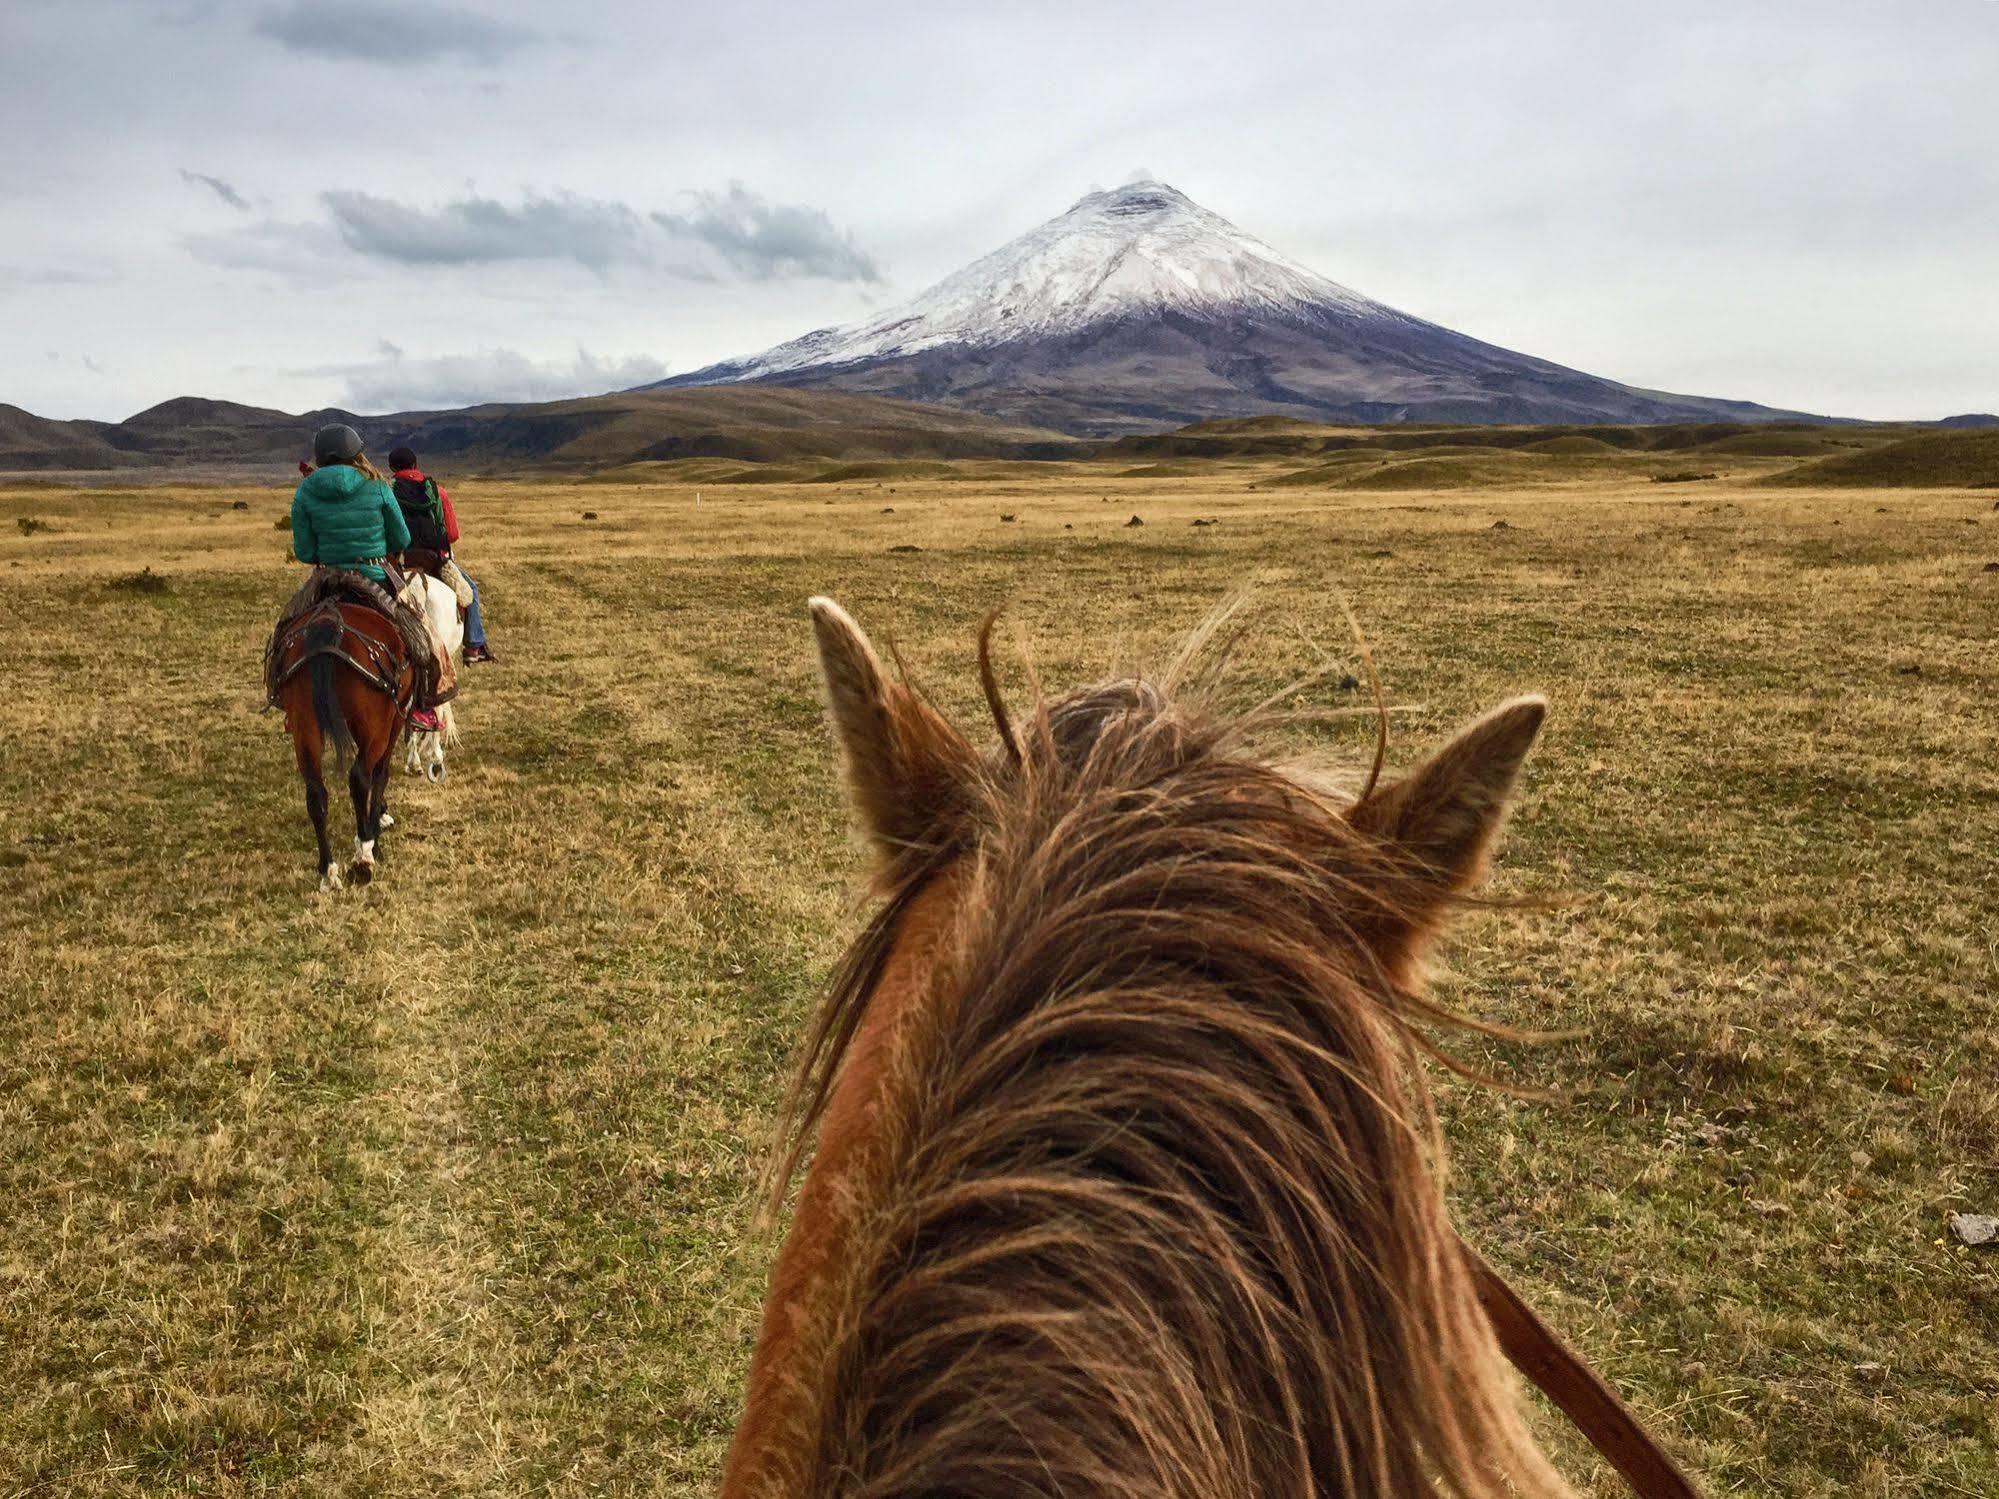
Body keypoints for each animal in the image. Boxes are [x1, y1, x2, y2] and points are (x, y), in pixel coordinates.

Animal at [273, 599, 413, 891]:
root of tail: (327, 623)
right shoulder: (394, 721)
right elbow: (380, 776)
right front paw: (375, 834)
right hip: (375, 729)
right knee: (360, 778)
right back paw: (363, 858)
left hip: (305, 727)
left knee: (316, 793)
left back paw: (328, 870)